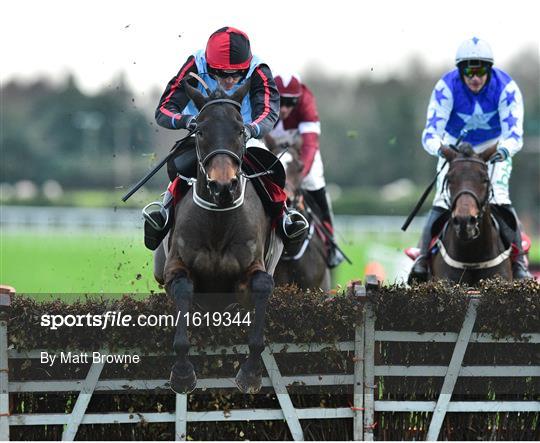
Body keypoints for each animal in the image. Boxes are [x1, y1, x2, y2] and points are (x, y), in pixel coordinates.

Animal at [162, 80, 282, 396]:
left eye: (240, 130)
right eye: (201, 131)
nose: (223, 185)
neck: (218, 222)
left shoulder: (246, 276)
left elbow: (262, 286)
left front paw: (250, 372)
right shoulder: (173, 268)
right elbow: (183, 289)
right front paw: (182, 372)